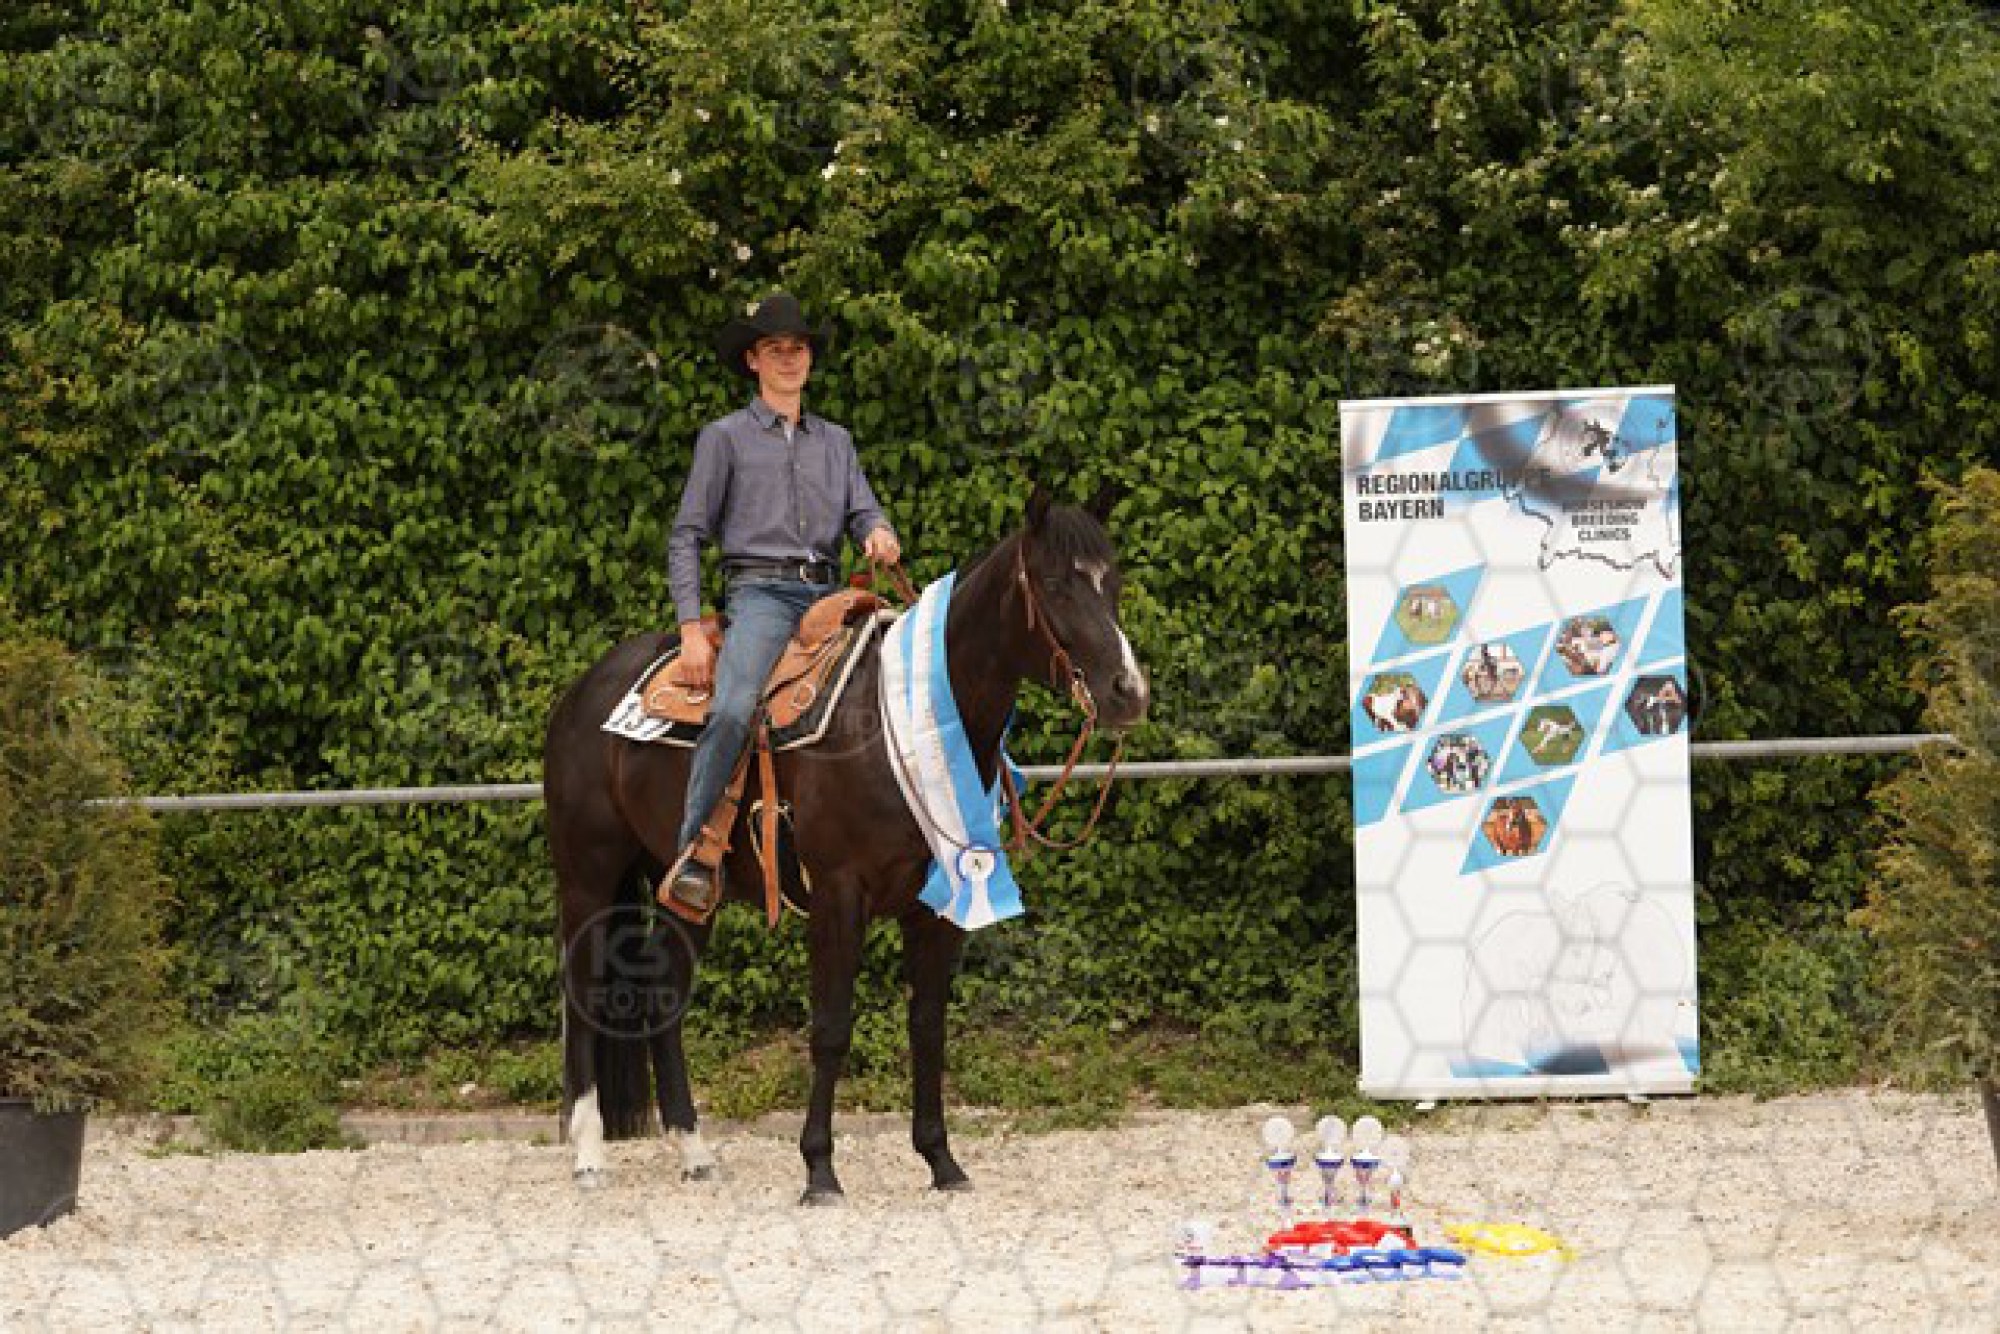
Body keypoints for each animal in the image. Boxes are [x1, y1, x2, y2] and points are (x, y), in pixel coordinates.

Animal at [541, 485, 1149, 1203]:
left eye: (1112, 582)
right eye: (1056, 583)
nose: (1128, 692)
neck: (892, 730)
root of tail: (585, 690)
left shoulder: (939, 903)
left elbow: (928, 1028)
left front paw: (941, 1161)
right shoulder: (837, 893)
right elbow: (831, 1029)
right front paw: (819, 1170)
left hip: (685, 888)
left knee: (665, 996)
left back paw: (695, 1153)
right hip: (588, 874)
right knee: (583, 995)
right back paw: (587, 1156)